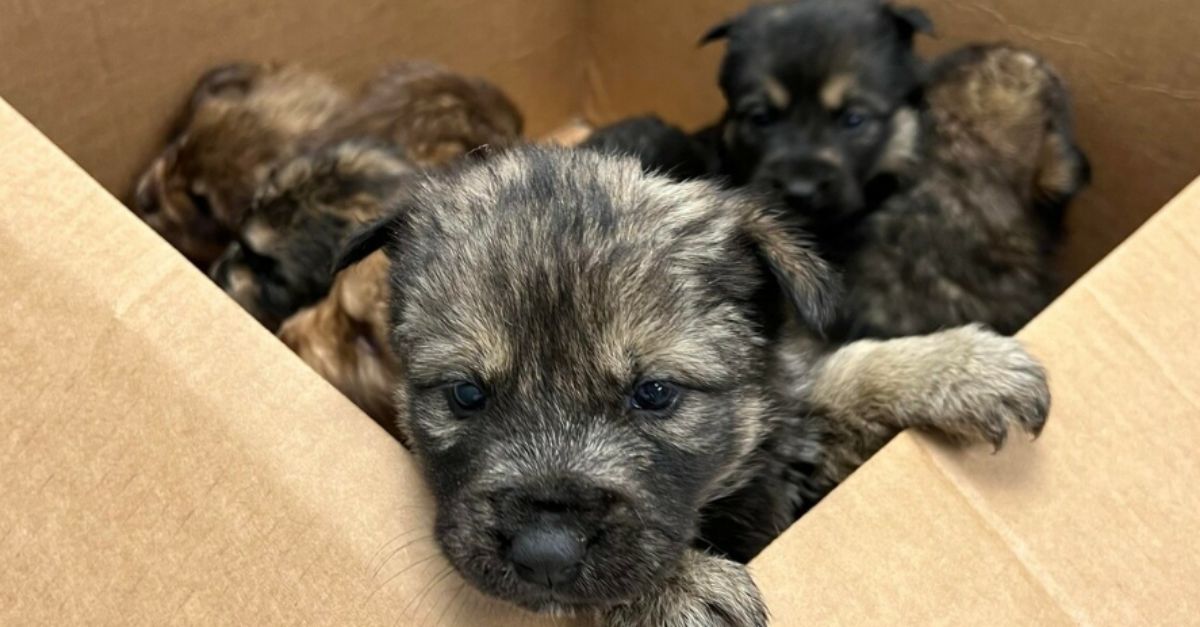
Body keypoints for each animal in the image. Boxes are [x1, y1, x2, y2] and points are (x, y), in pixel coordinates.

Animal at [333, 145, 1046, 619]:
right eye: (466, 394)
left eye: (655, 393)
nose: (545, 554)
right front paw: (682, 588)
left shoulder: (782, 440)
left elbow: (833, 382)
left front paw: (957, 367)